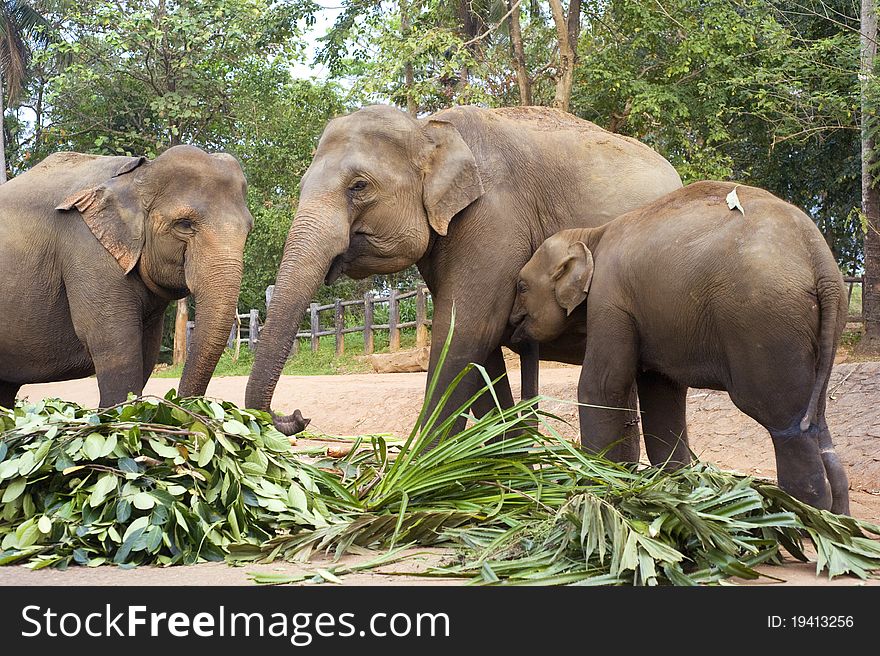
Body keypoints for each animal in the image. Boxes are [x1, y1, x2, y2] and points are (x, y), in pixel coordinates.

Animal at [0, 146, 254, 408]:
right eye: (184, 225)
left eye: (248, 230)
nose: (182, 404)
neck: (136, 173)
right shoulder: (89, 251)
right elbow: (116, 350)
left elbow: (147, 352)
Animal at [244, 104, 684, 446]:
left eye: (359, 186)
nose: (299, 416)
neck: (428, 128)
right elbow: (480, 346)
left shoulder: (494, 218)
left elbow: (466, 330)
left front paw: (416, 473)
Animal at [512, 182, 848, 516]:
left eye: (521, 287)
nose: (515, 327)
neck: (590, 235)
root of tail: (820, 261)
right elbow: (661, 392)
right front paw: (673, 486)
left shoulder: (610, 300)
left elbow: (602, 387)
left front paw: (593, 486)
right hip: (820, 331)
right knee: (818, 423)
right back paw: (837, 518)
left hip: (765, 323)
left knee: (783, 422)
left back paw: (803, 515)